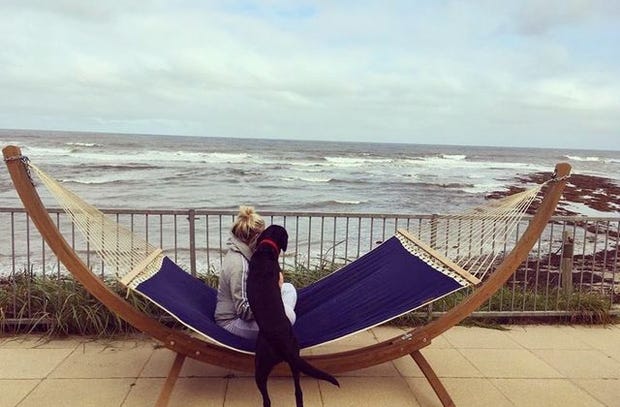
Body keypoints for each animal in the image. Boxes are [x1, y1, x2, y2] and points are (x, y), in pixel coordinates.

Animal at [246, 226, 340, 407]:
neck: (266, 250)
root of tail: (282, 343)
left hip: (271, 365)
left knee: (279, 396)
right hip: (281, 363)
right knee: (293, 393)